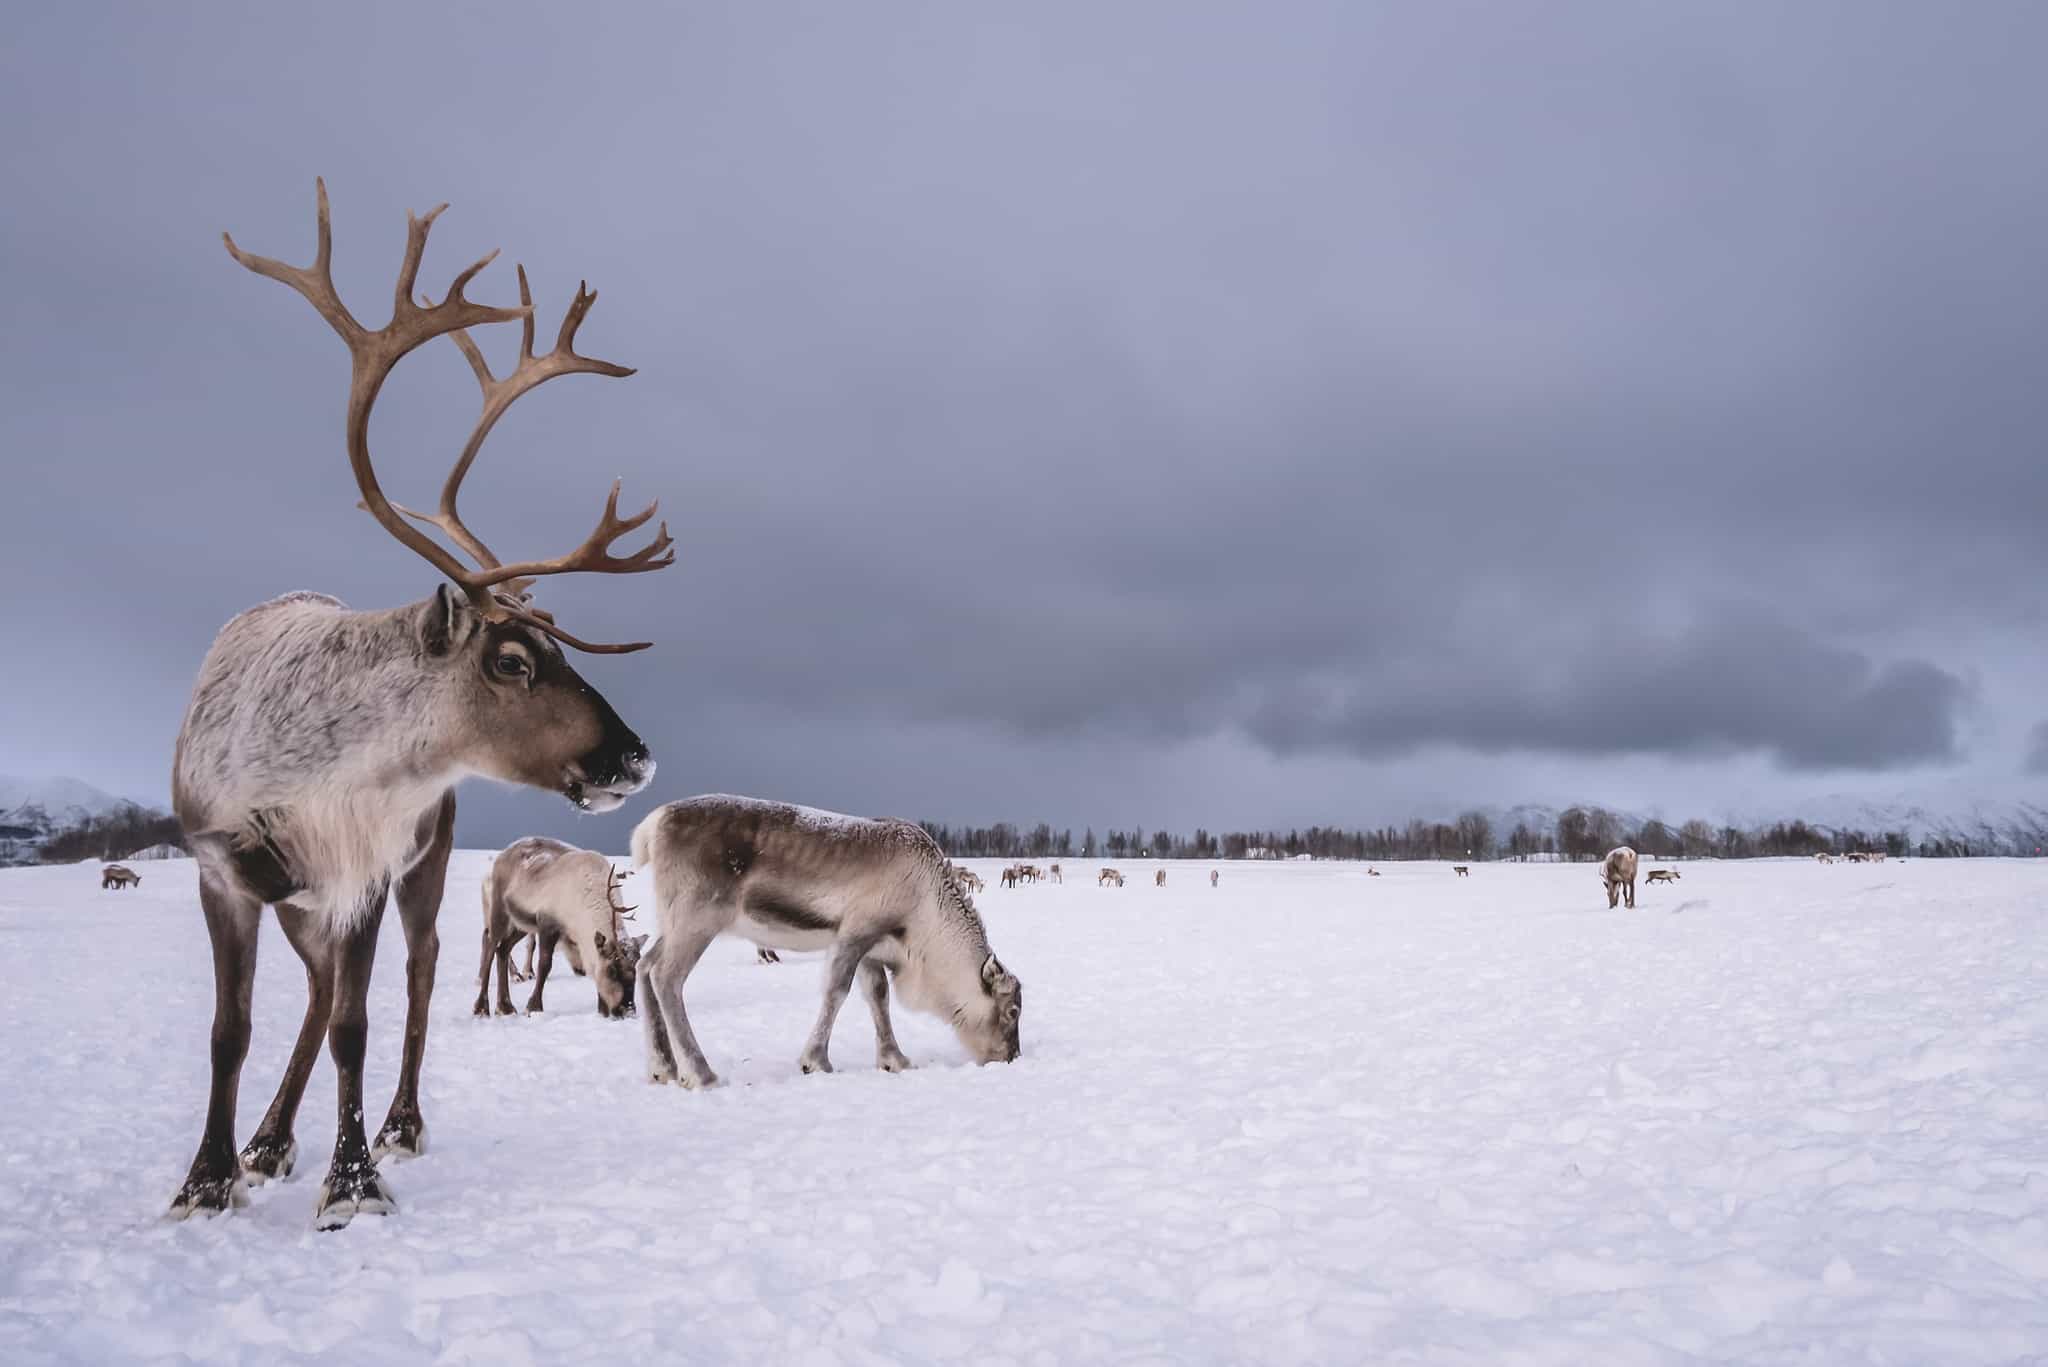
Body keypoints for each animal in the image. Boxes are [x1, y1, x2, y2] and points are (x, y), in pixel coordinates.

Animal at [475, 839, 645, 1018]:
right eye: (612, 970)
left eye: (635, 970)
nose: (628, 1010)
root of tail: (504, 853)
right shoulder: (547, 923)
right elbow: (544, 965)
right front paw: (533, 1007)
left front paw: (602, 1010)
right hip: (499, 911)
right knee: (491, 946)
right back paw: (481, 1007)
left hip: (521, 924)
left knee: (503, 949)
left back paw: (505, 1007)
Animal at [631, 796, 1024, 1085]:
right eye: (1013, 1011)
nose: (1010, 1057)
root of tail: (653, 824)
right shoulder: (854, 932)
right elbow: (837, 990)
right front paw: (816, 1061)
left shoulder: (873, 949)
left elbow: (877, 996)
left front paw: (894, 1059)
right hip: (697, 917)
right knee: (666, 976)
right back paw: (701, 1073)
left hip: (672, 921)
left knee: (644, 964)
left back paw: (662, 1068)